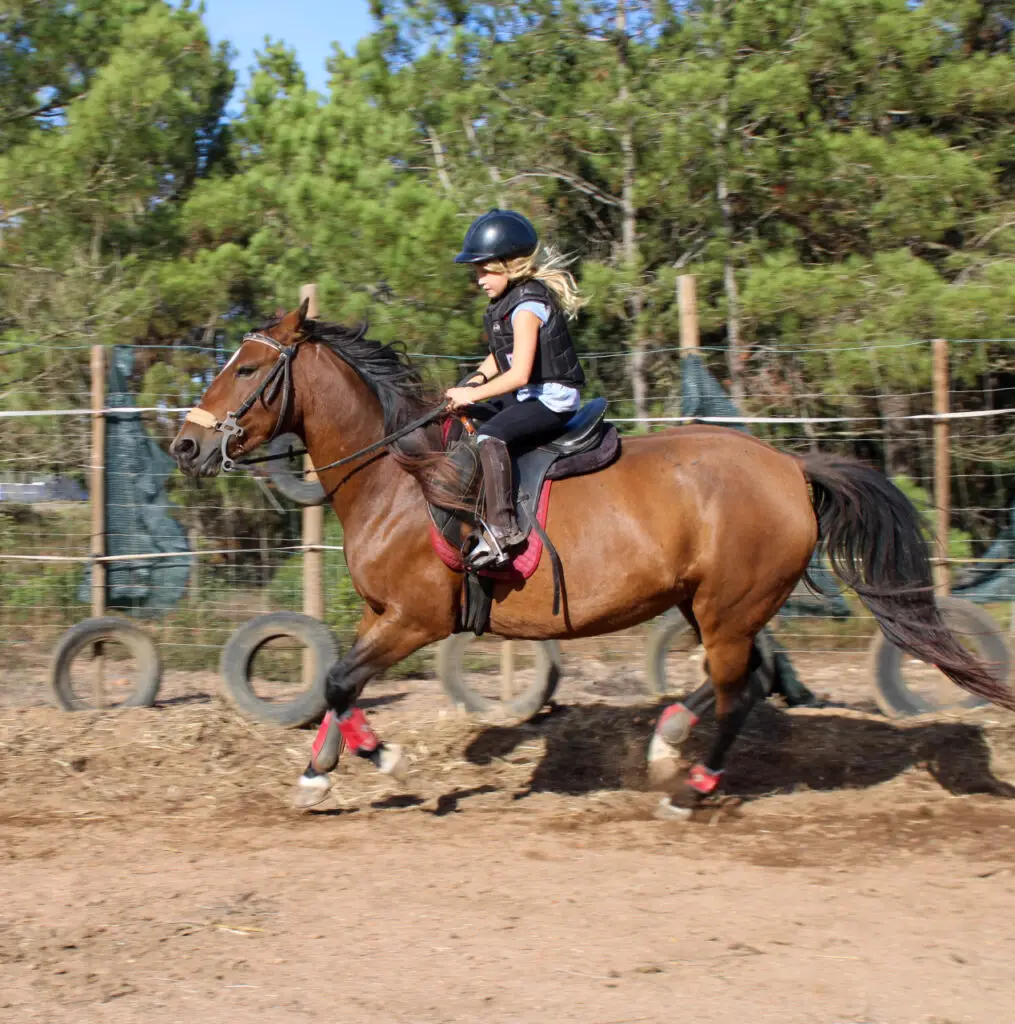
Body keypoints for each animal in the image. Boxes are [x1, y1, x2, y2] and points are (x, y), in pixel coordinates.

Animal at [171, 303, 1011, 815]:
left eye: (247, 369)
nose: (184, 444)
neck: (398, 478)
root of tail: (788, 467)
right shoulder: (382, 616)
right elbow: (335, 688)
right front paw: (320, 770)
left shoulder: (414, 618)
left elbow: (342, 683)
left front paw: (377, 763)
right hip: (708, 604)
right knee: (746, 679)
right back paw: (667, 745)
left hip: (727, 609)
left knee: (740, 690)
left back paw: (688, 787)